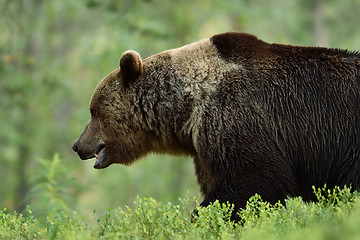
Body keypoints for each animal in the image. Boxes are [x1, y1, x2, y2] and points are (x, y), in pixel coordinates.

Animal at [71, 32, 358, 221]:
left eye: (93, 111)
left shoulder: (234, 116)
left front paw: (203, 218)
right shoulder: (204, 148)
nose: (77, 145)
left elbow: (256, 177)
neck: (187, 110)